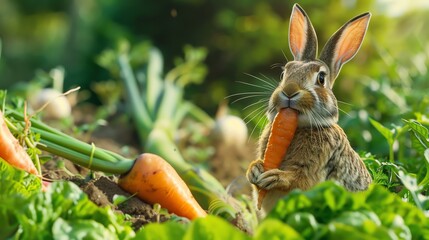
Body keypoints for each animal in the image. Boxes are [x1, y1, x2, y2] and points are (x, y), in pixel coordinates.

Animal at [246, 3, 372, 215]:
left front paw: (275, 177)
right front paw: (254, 169)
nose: (289, 91)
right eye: (284, 74)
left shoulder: (314, 170)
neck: (299, 127)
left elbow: (298, 180)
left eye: (321, 79)